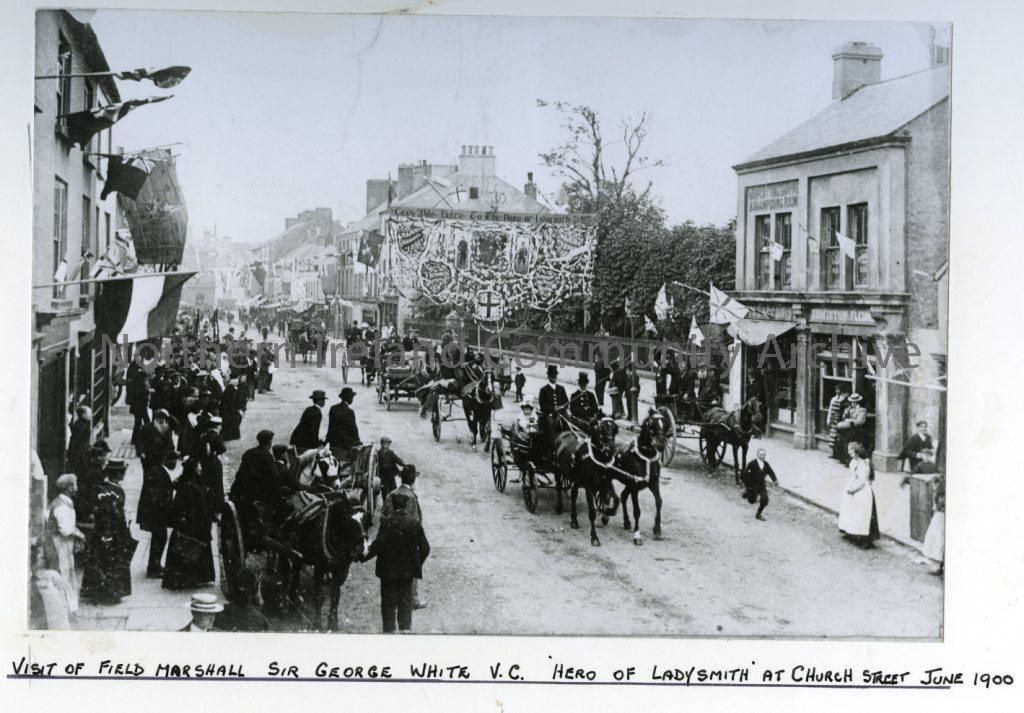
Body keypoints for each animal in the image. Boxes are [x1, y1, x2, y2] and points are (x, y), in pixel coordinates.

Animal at [552, 415, 619, 546]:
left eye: (615, 429)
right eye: (601, 429)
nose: (611, 448)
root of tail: (564, 433)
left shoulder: (606, 484)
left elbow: (615, 499)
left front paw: (607, 513)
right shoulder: (589, 488)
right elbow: (592, 513)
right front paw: (594, 537)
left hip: (576, 479)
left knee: (573, 495)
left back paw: (574, 520)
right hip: (558, 470)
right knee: (559, 487)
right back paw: (559, 507)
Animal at [612, 409, 668, 545]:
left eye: (664, 424)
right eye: (652, 424)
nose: (660, 445)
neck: (645, 458)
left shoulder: (653, 483)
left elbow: (659, 502)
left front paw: (657, 530)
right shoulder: (635, 487)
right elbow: (637, 511)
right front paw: (637, 535)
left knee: (623, 496)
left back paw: (626, 522)